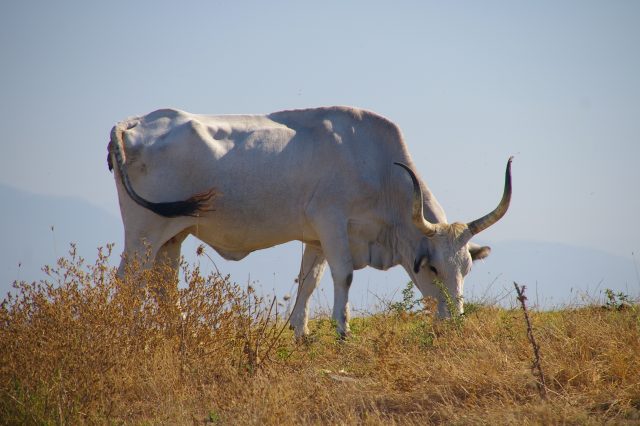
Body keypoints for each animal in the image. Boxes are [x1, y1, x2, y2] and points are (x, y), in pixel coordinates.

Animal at [107, 107, 512, 340]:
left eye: (466, 269)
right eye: (432, 268)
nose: (455, 321)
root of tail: (132, 122)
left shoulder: (316, 238)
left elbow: (309, 279)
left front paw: (301, 333)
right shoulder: (332, 223)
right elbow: (342, 276)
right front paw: (342, 331)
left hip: (171, 235)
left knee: (164, 285)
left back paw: (180, 334)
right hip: (143, 233)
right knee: (128, 279)